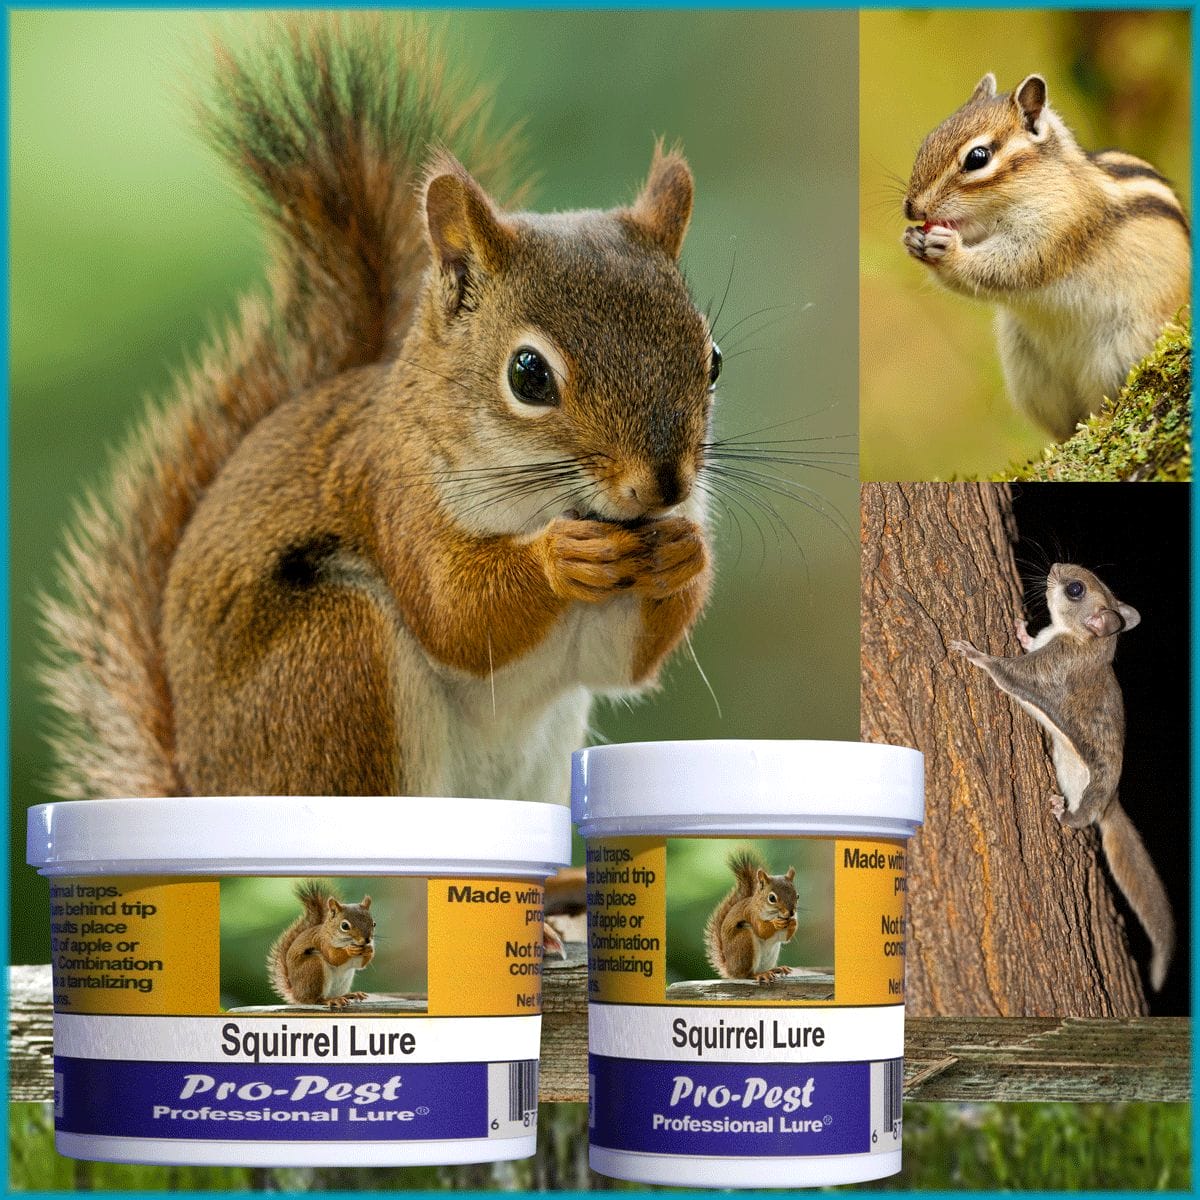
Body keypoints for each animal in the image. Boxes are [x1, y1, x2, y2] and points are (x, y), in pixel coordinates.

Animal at [38, 18, 714, 804]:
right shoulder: (395, 494)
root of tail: (202, 788)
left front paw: (686, 552)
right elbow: (455, 612)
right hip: (335, 662)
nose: (665, 485)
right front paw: (559, 556)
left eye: (712, 359)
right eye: (528, 375)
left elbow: (620, 662)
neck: (545, 499)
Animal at [704, 852, 799, 985]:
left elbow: (785, 938)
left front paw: (793, 923)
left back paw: (776, 969)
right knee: (747, 974)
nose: (791, 912)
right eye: (772, 898)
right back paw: (760, 975)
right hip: (744, 942)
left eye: (797, 895)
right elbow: (762, 930)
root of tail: (730, 970)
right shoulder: (751, 914)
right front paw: (775, 923)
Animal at [902, 72, 1190, 442]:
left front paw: (949, 251)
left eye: (977, 157)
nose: (912, 209)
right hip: (1031, 376)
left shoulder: (1057, 229)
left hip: (1118, 353)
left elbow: (1012, 266)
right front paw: (913, 240)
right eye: (928, 140)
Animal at [950, 562, 1175, 991]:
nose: (1055, 567)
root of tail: (1109, 803)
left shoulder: (1049, 668)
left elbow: (1006, 672)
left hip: (1088, 792)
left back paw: (1063, 813)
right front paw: (1021, 630)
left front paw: (974, 654)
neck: (1083, 641)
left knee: (1081, 819)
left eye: (1075, 589)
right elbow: (1027, 644)